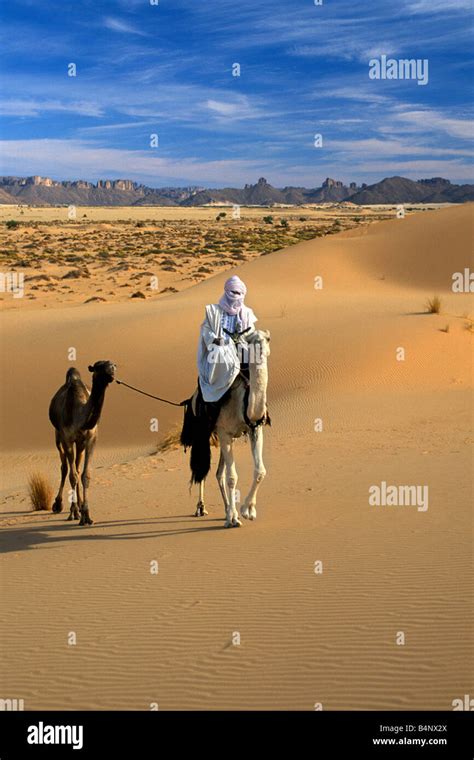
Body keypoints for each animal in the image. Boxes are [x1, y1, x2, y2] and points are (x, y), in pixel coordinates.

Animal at [48, 360, 115, 524]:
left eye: (113, 365)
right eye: (99, 366)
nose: (111, 371)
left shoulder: (91, 439)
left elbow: (85, 475)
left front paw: (86, 515)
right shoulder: (67, 438)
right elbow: (72, 476)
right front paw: (74, 512)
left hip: (80, 444)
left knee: (77, 469)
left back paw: (78, 506)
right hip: (58, 436)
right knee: (65, 468)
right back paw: (60, 505)